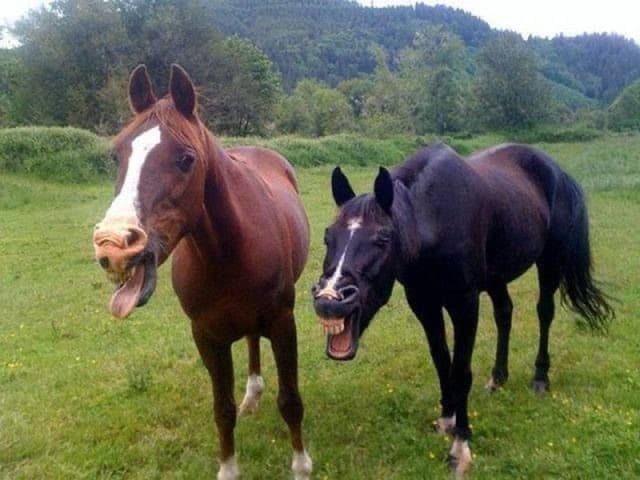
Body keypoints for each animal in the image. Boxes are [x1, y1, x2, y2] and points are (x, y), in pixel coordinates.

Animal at [92, 64, 312, 480]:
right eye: (116, 156)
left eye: (185, 159)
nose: (113, 246)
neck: (227, 252)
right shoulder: (206, 335)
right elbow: (222, 410)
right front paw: (228, 467)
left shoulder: (282, 322)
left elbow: (291, 401)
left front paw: (301, 465)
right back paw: (251, 395)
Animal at [312, 142, 613, 477]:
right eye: (328, 236)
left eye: (382, 238)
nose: (329, 299)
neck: (432, 218)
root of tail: (557, 171)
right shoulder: (424, 302)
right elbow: (442, 361)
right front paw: (447, 418)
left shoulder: (464, 303)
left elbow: (461, 370)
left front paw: (461, 445)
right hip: (496, 278)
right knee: (504, 313)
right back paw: (498, 378)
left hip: (549, 262)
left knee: (544, 312)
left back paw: (540, 378)